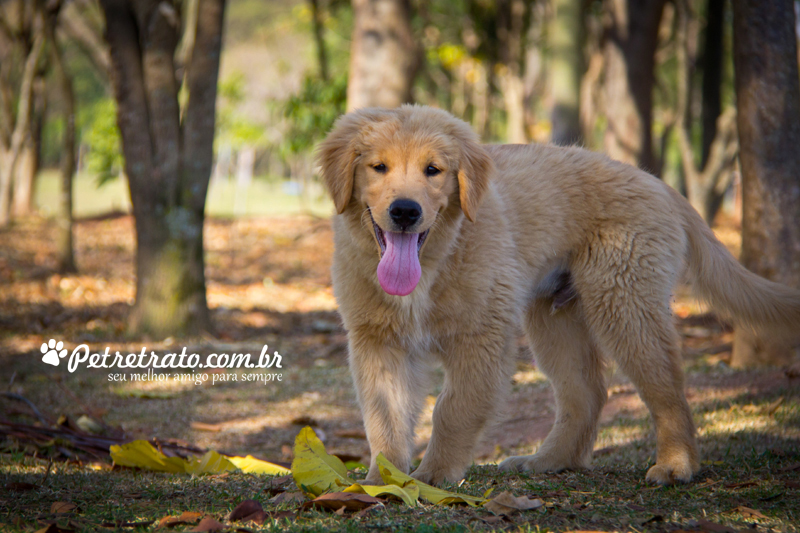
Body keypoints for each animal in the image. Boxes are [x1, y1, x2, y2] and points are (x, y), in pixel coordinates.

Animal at [318, 105, 800, 486]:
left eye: (433, 170)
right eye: (378, 167)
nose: (405, 211)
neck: (434, 263)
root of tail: (659, 184)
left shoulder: (482, 336)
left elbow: (452, 409)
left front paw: (434, 477)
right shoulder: (378, 341)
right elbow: (384, 415)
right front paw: (384, 480)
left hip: (624, 301)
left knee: (667, 389)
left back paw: (676, 465)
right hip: (554, 317)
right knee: (587, 393)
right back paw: (549, 461)